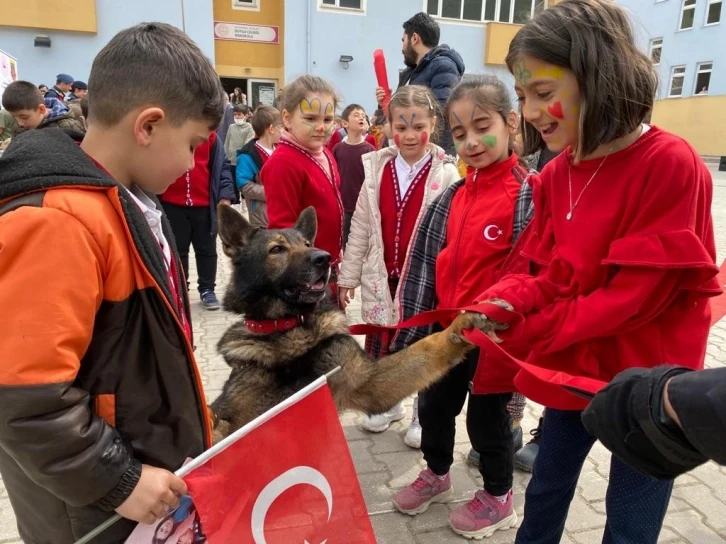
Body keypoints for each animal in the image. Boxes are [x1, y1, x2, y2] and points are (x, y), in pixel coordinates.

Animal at [209, 205, 490, 442]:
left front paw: (461, 327)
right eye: (277, 249)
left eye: (307, 243)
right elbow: (219, 427)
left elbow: (428, 346)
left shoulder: (371, 382)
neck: (290, 331)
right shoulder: (235, 417)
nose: (324, 258)